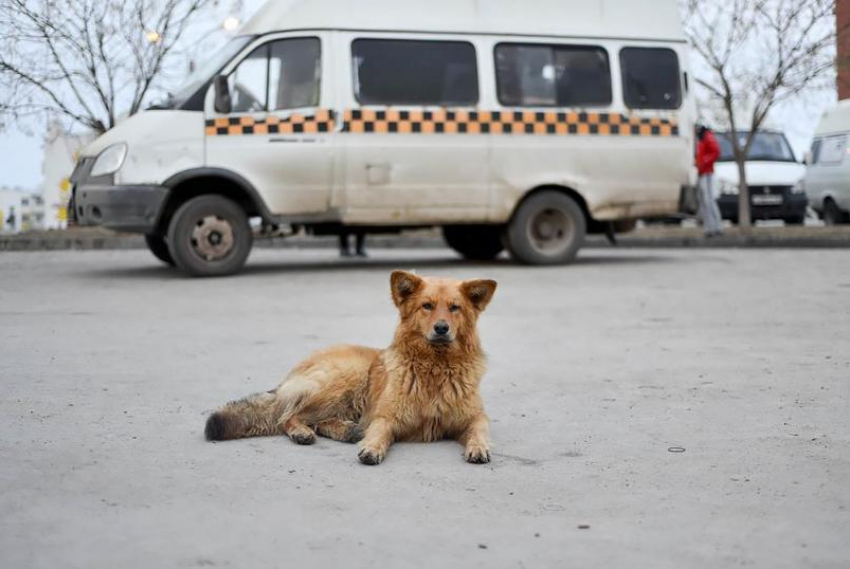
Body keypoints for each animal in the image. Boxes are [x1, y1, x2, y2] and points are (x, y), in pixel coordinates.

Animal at [206, 268, 496, 464]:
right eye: (427, 306)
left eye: (455, 308)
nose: (441, 328)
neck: (435, 366)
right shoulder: (386, 417)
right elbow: (379, 432)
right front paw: (372, 447)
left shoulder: (474, 417)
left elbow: (479, 430)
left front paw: (479, 447)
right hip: (347, 378)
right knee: (287, 416)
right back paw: (304, 431)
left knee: (314, 419)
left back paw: (347, 430)